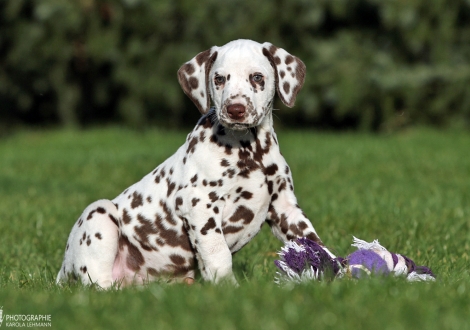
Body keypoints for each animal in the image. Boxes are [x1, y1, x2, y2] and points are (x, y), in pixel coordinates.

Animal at [56, 38, 334, 288]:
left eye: (257, 77)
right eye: (219, 79)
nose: (235, 109)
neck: (251, 150)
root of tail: (62, 271)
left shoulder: (284, 207)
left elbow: (313, 241)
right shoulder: (199, 204)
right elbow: (218, 253)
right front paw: (228, 288)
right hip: (99, 214)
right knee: (98, 283)